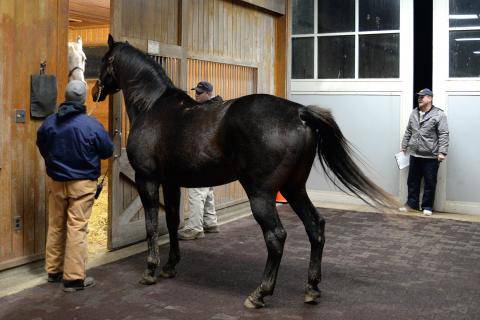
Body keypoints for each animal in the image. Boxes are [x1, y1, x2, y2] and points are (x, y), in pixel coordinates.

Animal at [93, 34, 398, 308]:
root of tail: (299, 113)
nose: (96, 91)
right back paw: (311, 288)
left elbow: (151, 225)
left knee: (276, 236)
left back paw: (259, 294)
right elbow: (170, 222)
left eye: (104, 60)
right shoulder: (171, 182)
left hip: (261, 193)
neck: (153, 108)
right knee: (315, 226)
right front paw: (170, 267)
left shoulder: (147, 179)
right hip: (294, 188)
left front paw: (150, 271)